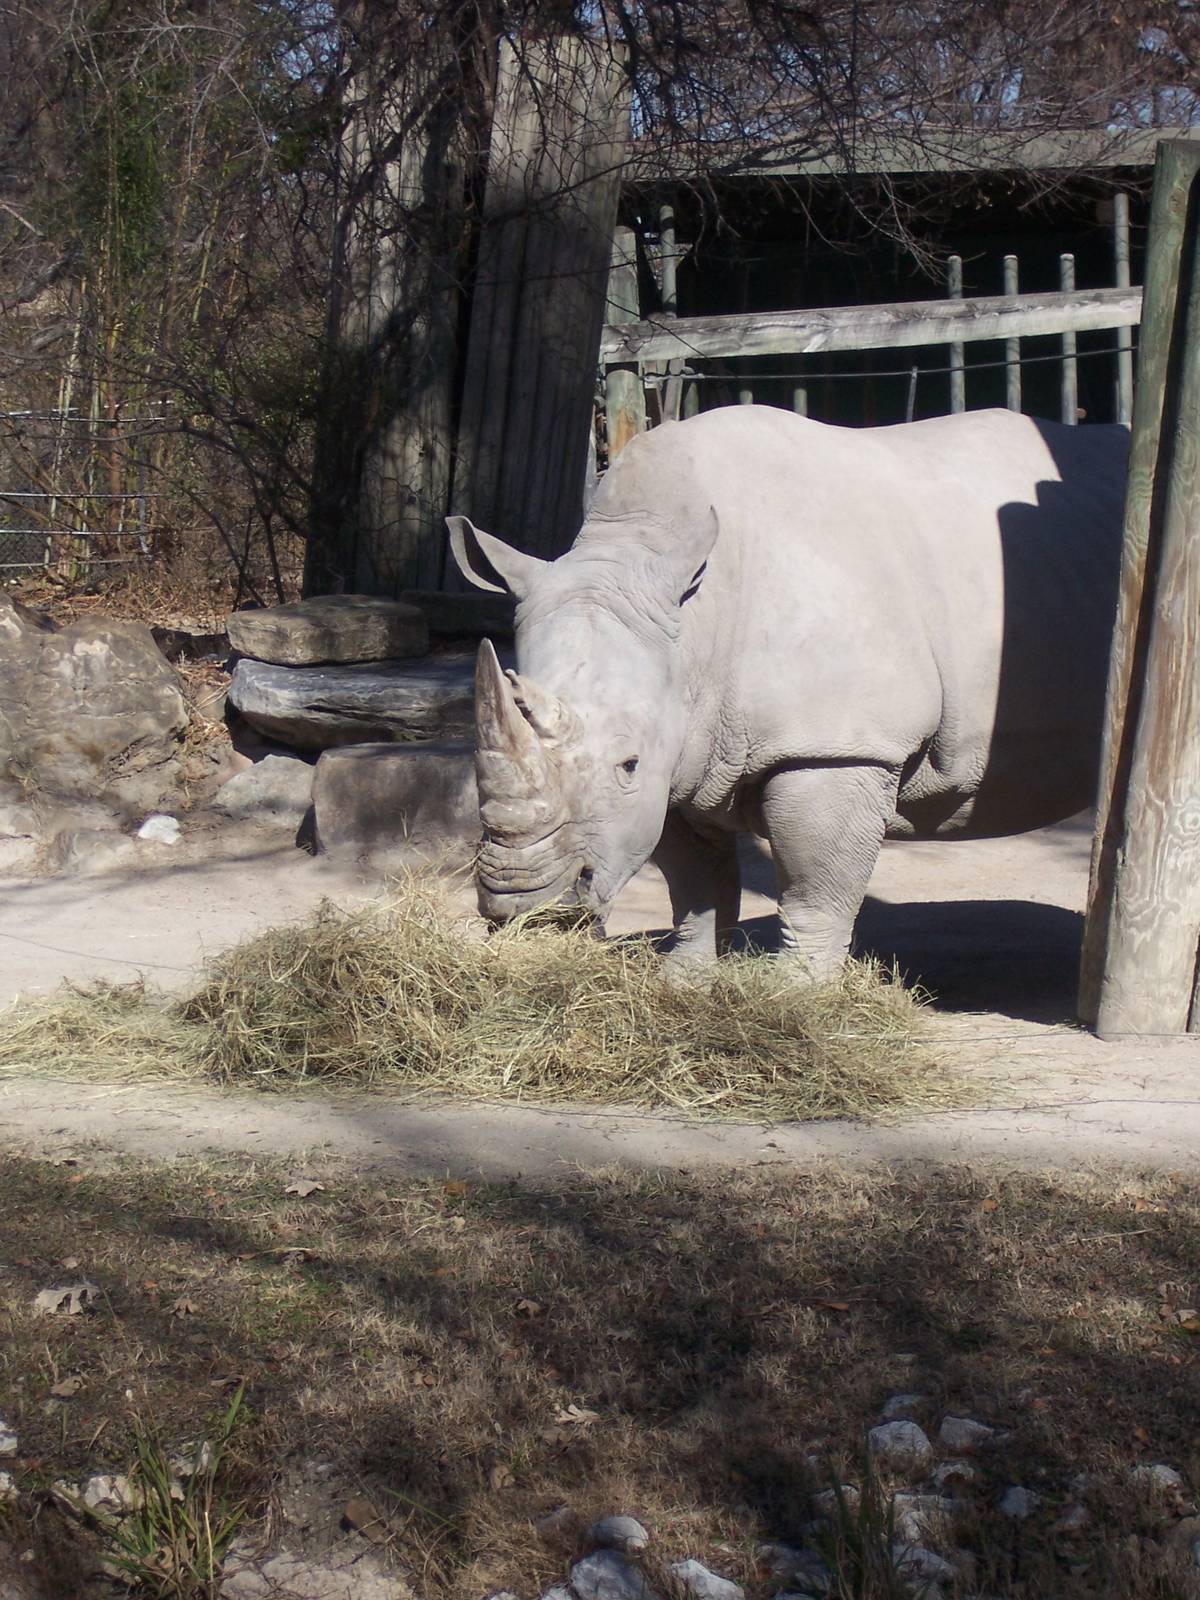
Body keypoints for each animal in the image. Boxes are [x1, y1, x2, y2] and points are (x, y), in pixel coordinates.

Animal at [447, 404, 1128, 978]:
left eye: (627, 764)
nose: (519, 901)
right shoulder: (683, 748)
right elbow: (695, 881)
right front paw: (684, 980)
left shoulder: (836, 743)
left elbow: (815, 883)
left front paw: (795, 997)